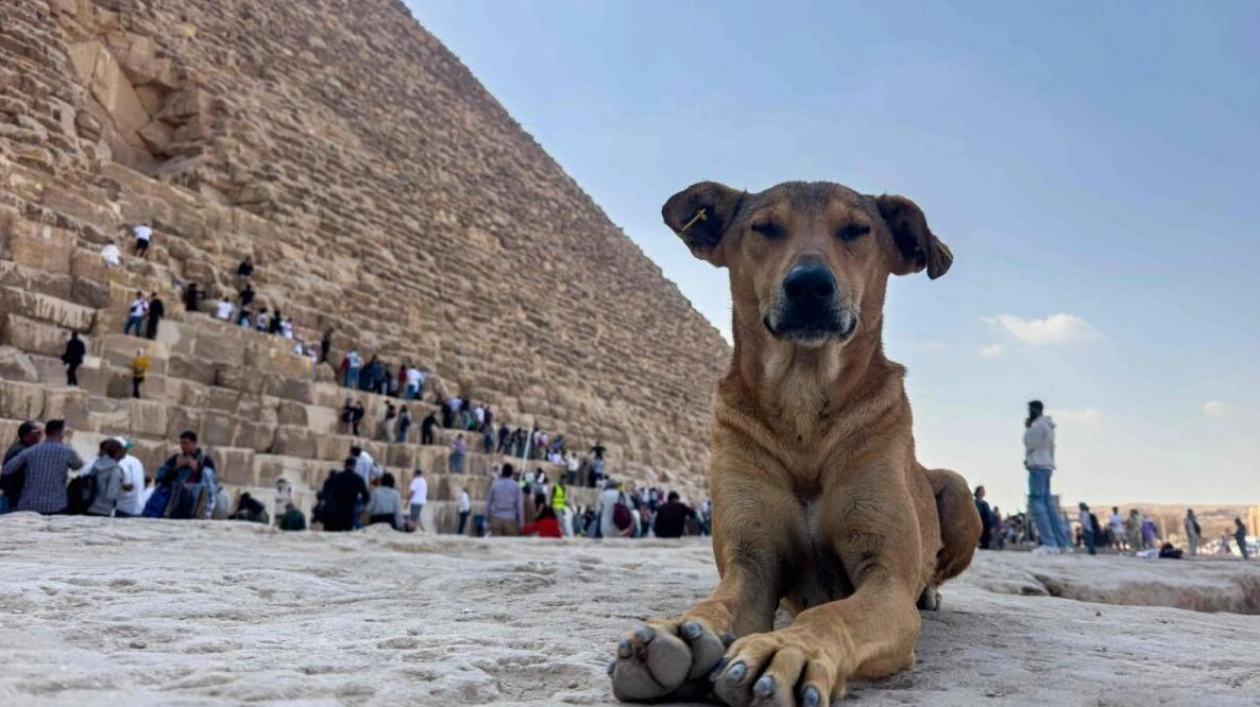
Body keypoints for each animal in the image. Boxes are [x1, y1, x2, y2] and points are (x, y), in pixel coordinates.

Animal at [604, 181, 977, 705]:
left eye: (856, 230)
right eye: (765, 228)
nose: (809, 285)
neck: (804, 406)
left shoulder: (885, 578)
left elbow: (832, 612)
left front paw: (788, 649)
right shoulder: (752, 566)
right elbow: (717, 602)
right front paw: (681, 631)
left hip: (958, 491)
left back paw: (929, 591)